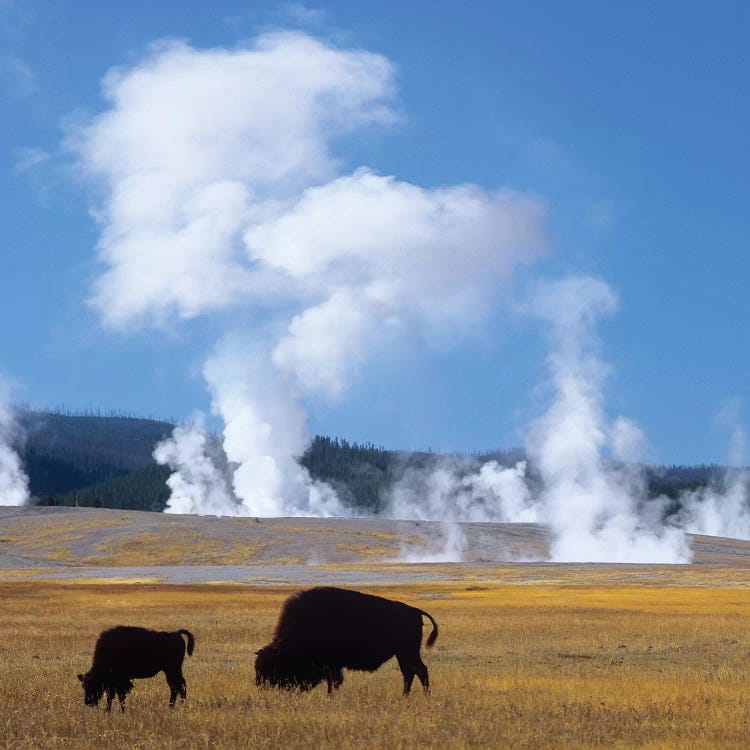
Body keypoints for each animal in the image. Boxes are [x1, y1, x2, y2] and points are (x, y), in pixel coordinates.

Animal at [256, 588, 438, 700]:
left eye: (272, 666)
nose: (260, 685)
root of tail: (415, 611)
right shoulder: (332, 666)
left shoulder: (331, 666)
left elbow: (333, 682)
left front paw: (330, 697)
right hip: (403, 653)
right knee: (411, 672)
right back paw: (407, 696)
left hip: (407, 652)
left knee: (418, 671)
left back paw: (421, 696)